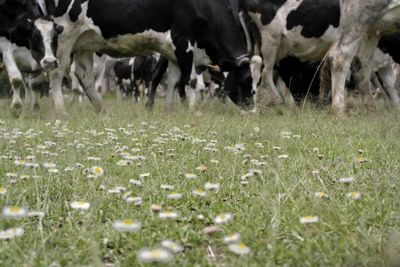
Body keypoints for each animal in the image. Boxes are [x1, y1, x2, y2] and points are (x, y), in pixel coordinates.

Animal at [33, 0, 253, 115]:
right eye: (246, 80)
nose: (251, 106)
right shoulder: (182, 41)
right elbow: (190, 81)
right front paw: (193, 110)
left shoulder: (173, 51)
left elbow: (173, 82)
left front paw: (169, 110)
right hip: (64, 35)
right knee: (57, 73)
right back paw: (61, 110)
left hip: (85, 39)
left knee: (84, 75)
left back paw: (101, 109)